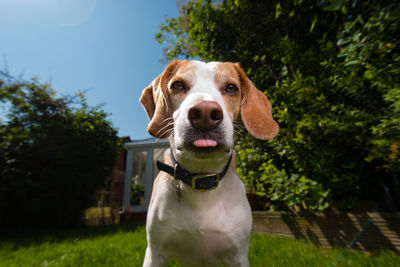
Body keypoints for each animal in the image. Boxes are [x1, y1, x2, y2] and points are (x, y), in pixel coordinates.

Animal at [140, 59, 278, 266]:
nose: (205, 112)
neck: (202, 179)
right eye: (177, 85)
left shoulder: (238, 256)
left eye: (231, 88)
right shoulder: (155, 253)